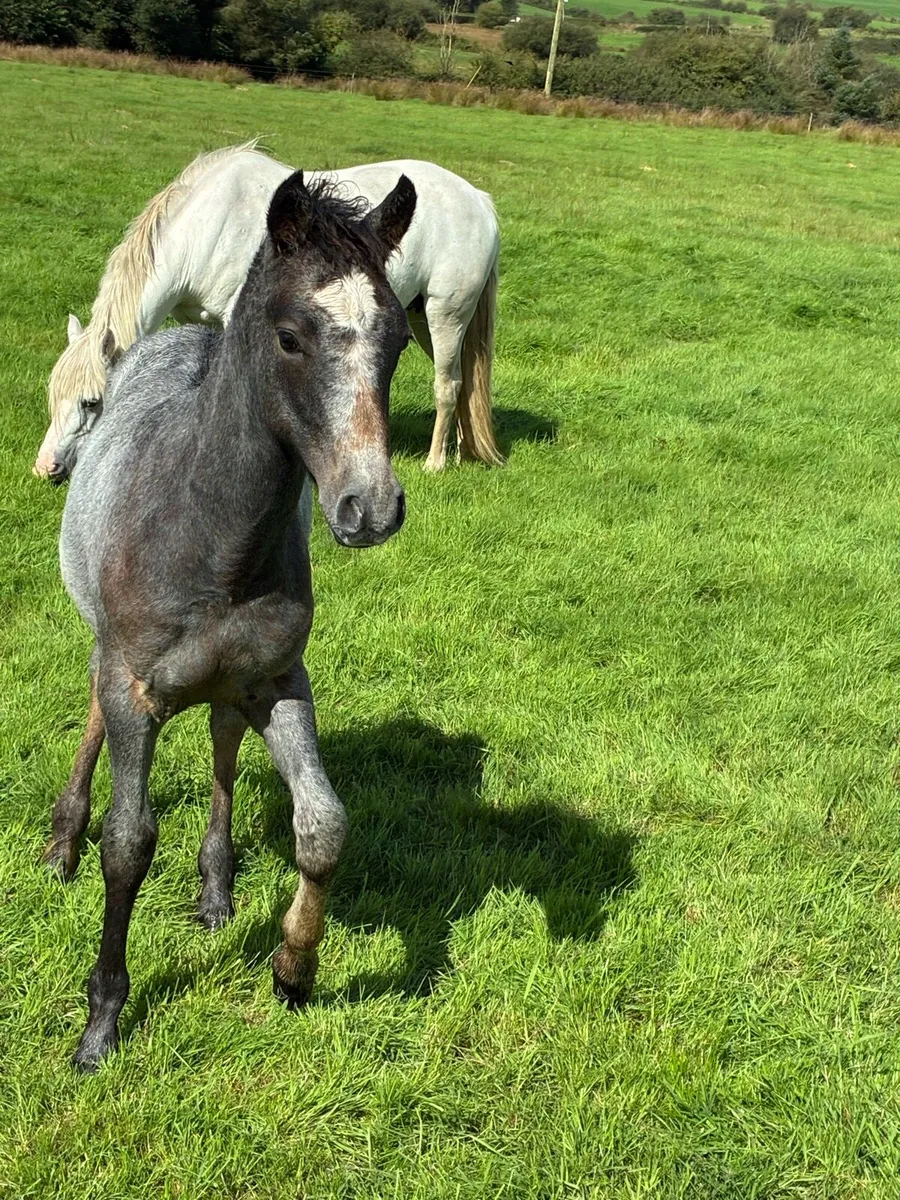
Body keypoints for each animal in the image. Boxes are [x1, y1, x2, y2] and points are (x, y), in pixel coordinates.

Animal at [36, 142, 503, 480]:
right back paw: (460, 454)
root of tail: (478, 200)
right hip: (421, 318)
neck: (208, 225)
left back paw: (435, 463)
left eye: (92, 402)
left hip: (446, 315)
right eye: (52, 394)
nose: (45, 469)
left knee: (447, 386)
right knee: (462, 381)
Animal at [44, 167, 417, 1071]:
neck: (212, 534)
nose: (370, 507)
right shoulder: (133, 687)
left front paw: (293, 967)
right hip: (105, 649)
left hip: (232, 687)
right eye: (289, 337)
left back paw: (215, 886)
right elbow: (127, 843)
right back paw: (61, 841)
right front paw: (101, 1025)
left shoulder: (279, 680)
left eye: (397, 340)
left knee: (219, 736)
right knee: (92, 715)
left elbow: (324, 825)